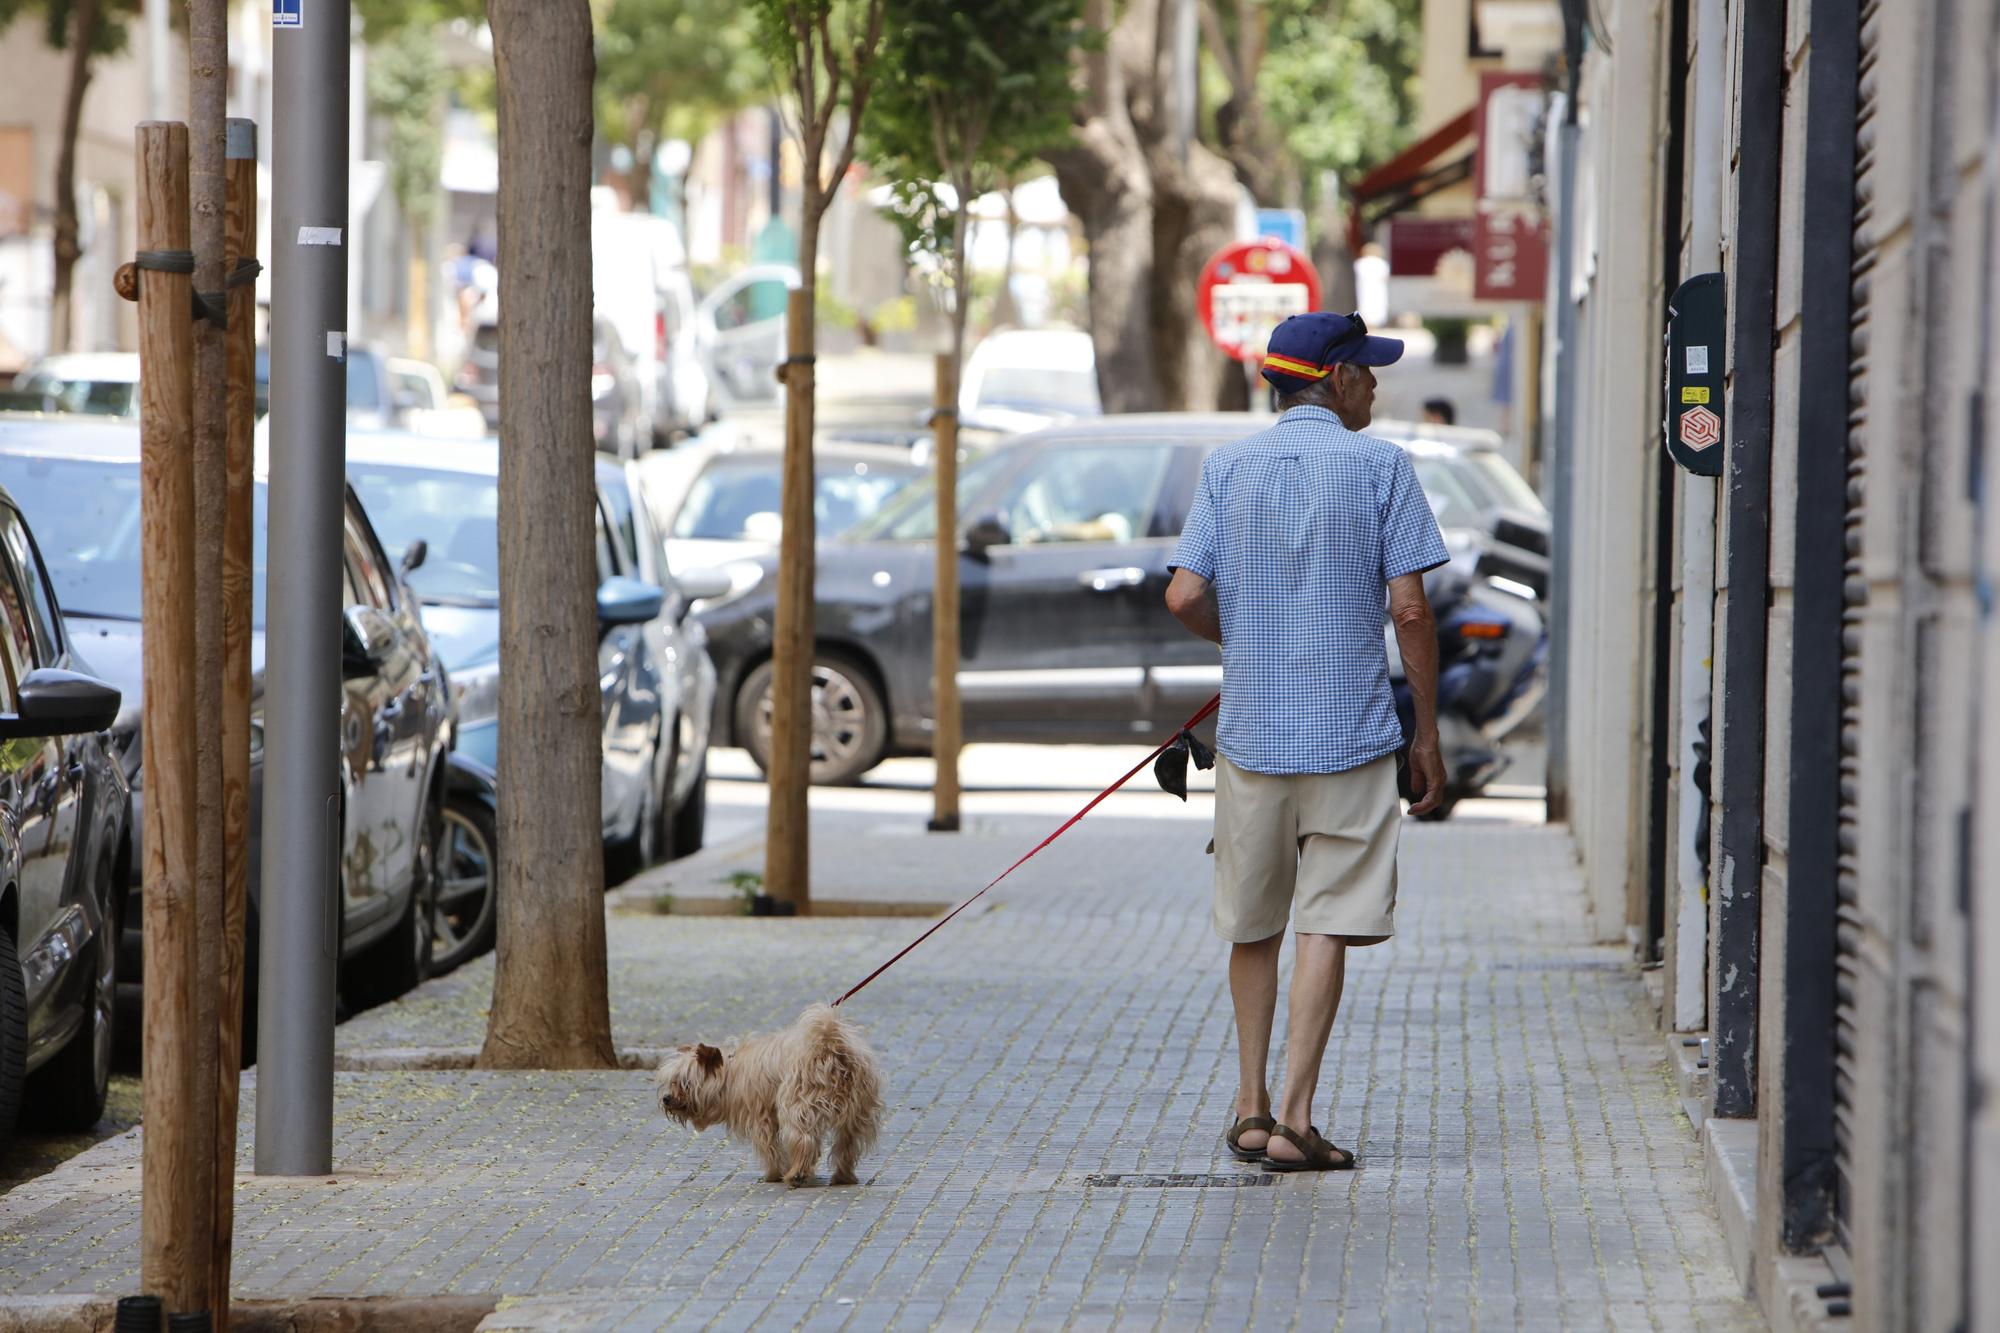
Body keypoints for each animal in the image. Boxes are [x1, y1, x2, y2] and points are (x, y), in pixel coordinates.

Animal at [656, 996, 884, 1184]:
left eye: (684, 1083)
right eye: (670, 1082)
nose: (666, 1099)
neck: (731, 1072)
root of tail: (829, 1045)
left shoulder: (761, 1118)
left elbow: (770, 1148)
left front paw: (774, 1174)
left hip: (797, 1107)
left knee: (804, 1139)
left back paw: (797, 1175)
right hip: (857, 1113)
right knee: (848, 1143)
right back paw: (843, 1176)